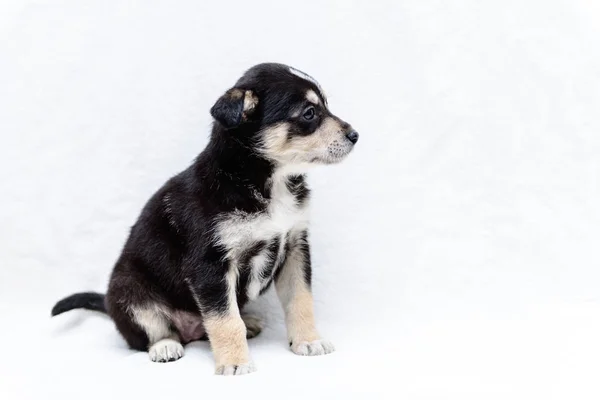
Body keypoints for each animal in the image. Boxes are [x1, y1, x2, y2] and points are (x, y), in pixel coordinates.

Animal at [51, 62, 358, 376]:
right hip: (129, 290)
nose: (355, 135)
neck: (265, 183)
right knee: (149, 334)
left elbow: (301, 300)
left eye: (325, 106)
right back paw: (165, 346)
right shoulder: (211, 264)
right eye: (309, 113)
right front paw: (235, 363)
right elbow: (225, 320)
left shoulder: (295, 246)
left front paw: (308, 341)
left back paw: (248, 323)